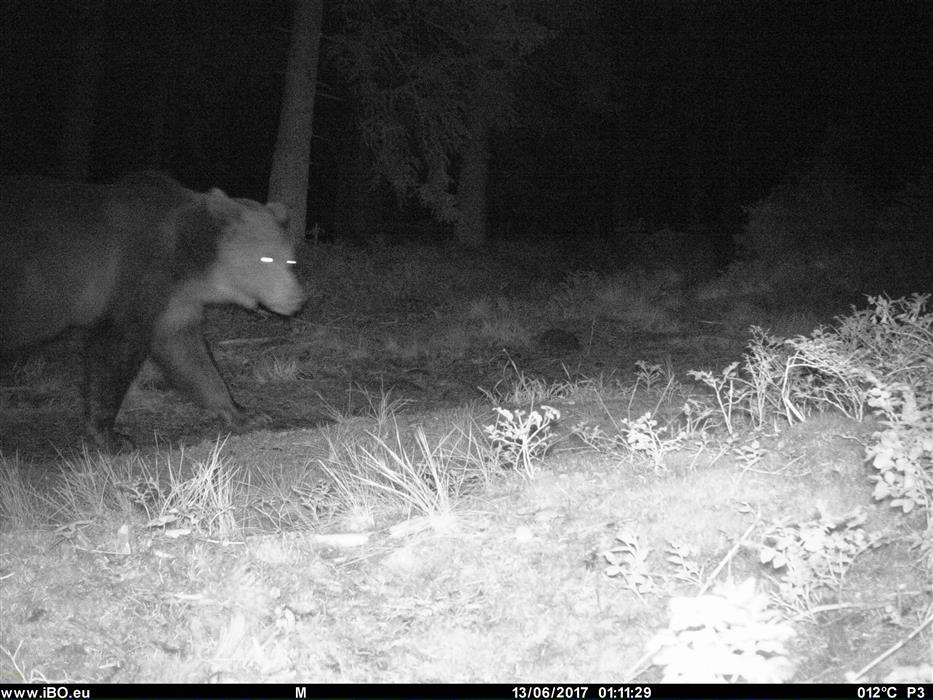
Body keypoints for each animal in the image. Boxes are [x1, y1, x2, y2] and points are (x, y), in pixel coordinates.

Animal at [0, 172, 306, 451]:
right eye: (266, 258)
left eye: (290, 259)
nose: (297, 299)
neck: (193, 264)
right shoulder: (137, 277)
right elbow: (116, 351)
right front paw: (111, 436)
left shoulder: (174, 303)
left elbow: (189, 356)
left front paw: (246, 414)